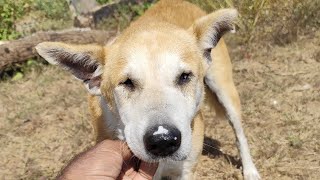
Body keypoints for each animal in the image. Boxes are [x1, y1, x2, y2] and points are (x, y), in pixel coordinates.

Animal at [35, 0, 260, 179]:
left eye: (184, 77)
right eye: (127, 83)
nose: (163, 141)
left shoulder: (186, 170)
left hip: (225, 92)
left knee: (240, 134)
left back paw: (250, 170)